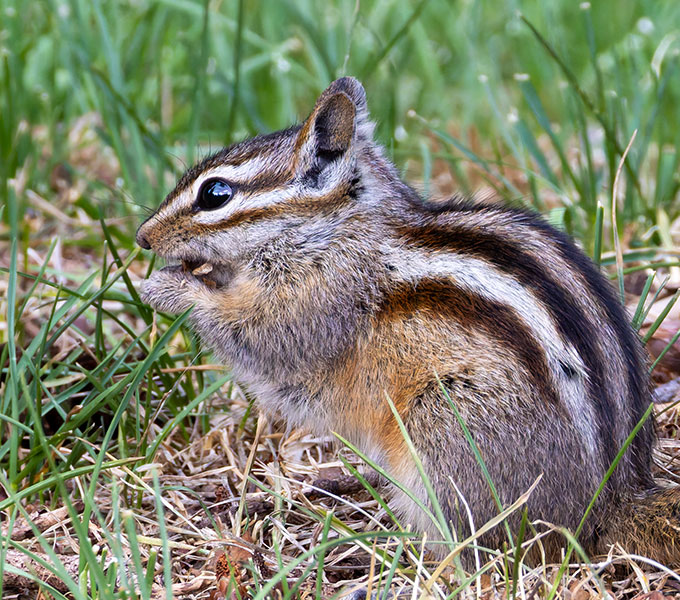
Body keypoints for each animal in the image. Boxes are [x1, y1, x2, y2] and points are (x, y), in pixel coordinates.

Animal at [137, 77, 680, 567]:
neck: (336, 232)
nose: (143, 238)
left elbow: (264, 337)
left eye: (215, 193)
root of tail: (610, 507)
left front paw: (164, 287)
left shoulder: (321, 302)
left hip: (446, 431)